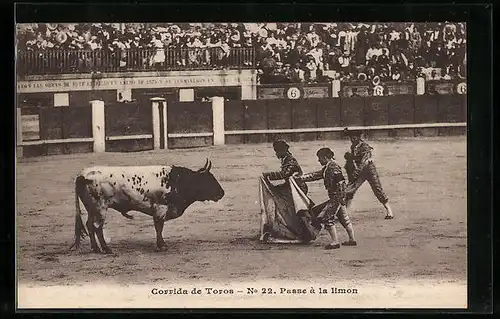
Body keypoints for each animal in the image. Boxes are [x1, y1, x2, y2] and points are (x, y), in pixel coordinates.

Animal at [69, 160, 225, 255]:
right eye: (208, 180)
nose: (222, 193)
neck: (177, 181)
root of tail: (83, 174)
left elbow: (158, 228)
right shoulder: (160, 208)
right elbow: (159, 227)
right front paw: (162, 246)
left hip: (91, 208)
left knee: (89, 225)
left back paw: (95, 248)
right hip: (100, 207)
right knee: (97, 227)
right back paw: (106, 249)